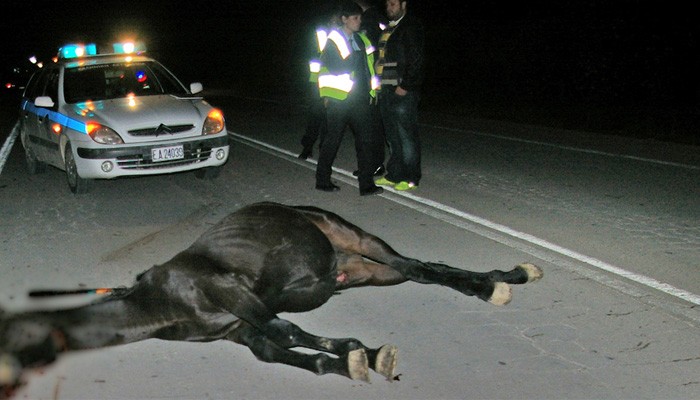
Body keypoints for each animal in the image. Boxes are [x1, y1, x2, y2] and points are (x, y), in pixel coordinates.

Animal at [0, 202, 544, 390]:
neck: (160, 302)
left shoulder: (232, 292)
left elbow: (286, 329)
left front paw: (362, 353)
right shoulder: (238, 330)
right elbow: (276, 347)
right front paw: (353, 360)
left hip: (359, 241)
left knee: (419, 266)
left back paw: (503, 281)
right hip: (360, 271)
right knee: (426, 272)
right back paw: (506, 278)